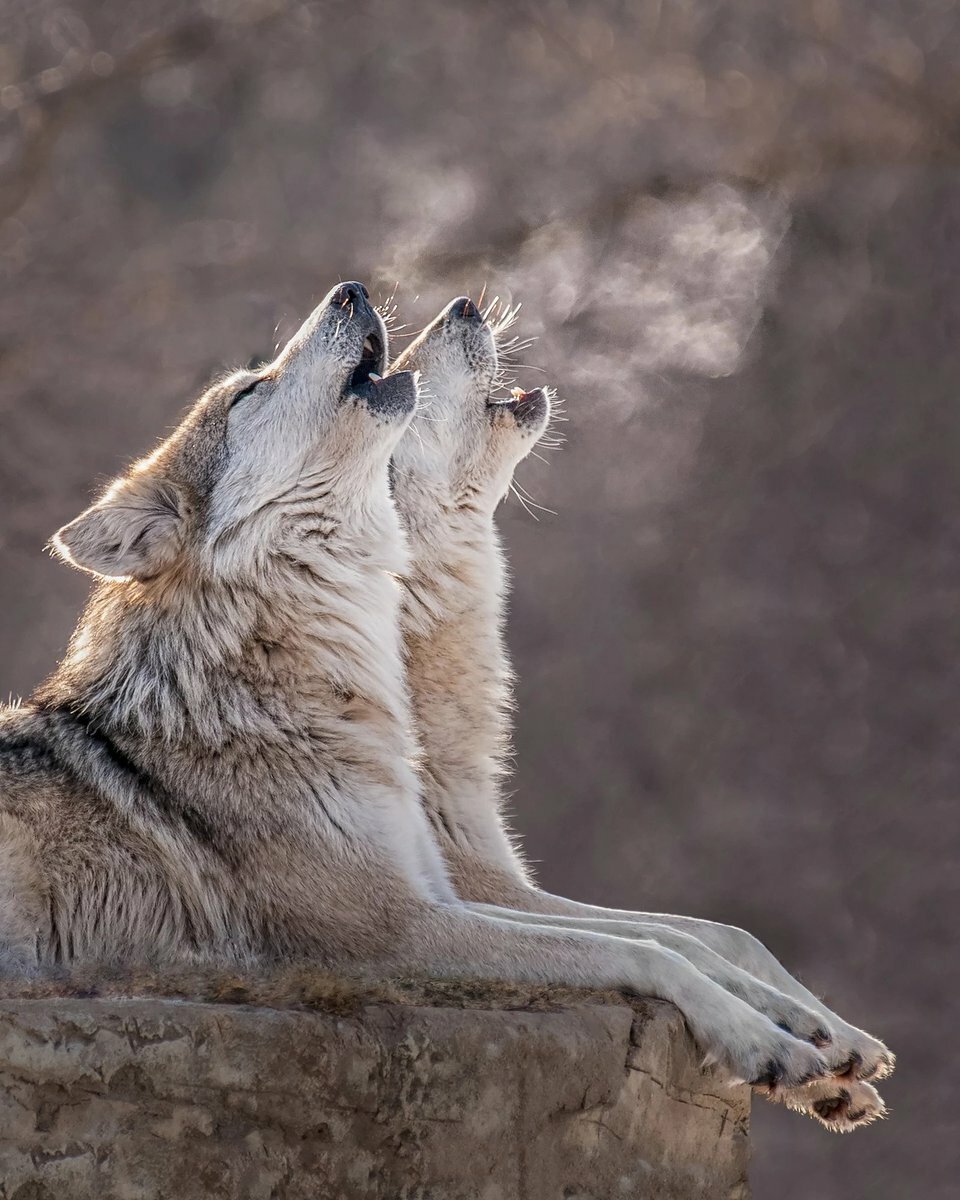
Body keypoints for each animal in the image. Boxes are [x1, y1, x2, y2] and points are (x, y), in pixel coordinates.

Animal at [0, 281, 841, 1092]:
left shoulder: (447, 884)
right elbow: (646, 950)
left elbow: (694, 933)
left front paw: (819, 1033)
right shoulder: (393, 930)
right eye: (248, 391)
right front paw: (764, 1042)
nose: (353, 289)